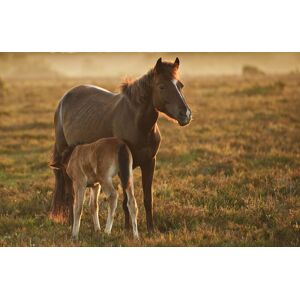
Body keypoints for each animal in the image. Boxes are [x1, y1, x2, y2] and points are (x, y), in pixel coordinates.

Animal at [51, 58, 192, 232]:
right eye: (161, 86)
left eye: (180, 85)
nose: (185, 114)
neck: (137, 123)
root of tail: (63, 100)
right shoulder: (125, 166)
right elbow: (125, 200)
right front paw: (126, 228)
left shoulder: (149, 163)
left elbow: (147, 199)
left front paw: (150, 229)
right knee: (71, 194)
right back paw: (72, 223)